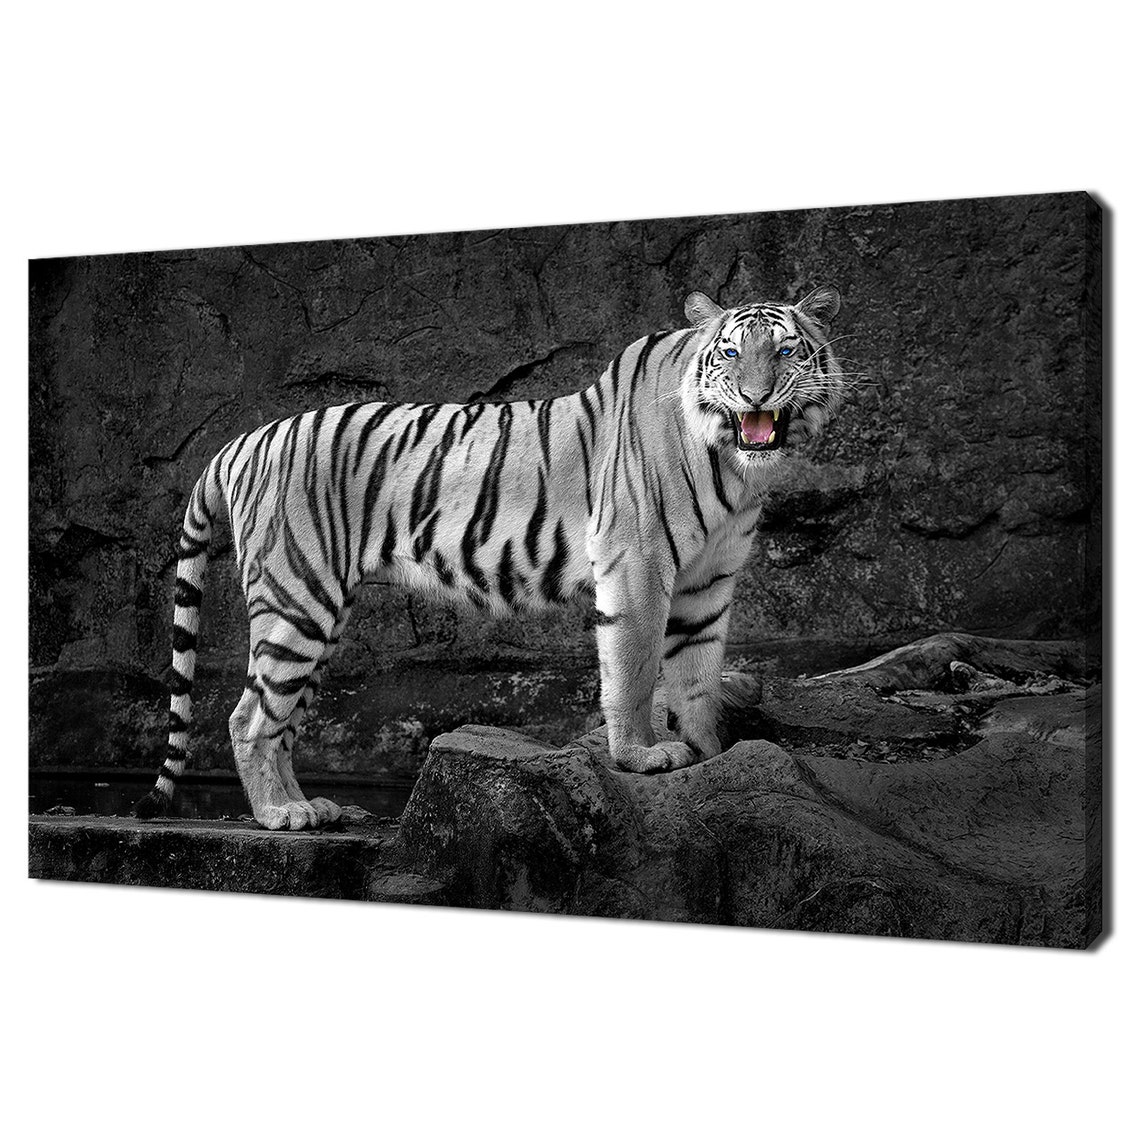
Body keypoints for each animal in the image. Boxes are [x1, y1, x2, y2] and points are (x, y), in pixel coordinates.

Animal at [134, 285, 846, 830]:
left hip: (320, 614)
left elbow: (697, 673)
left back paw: (311, 807)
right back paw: (281, 816)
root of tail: (241, 441)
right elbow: (637, 667)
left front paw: (712, 755)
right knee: (250, 716)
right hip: (297, 598)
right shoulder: (637, 561)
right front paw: (643, 757)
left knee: (280, 717)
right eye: (731, 353)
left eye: (784, 350)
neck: (734, 463)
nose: (755, 396)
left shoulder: (710, 578)